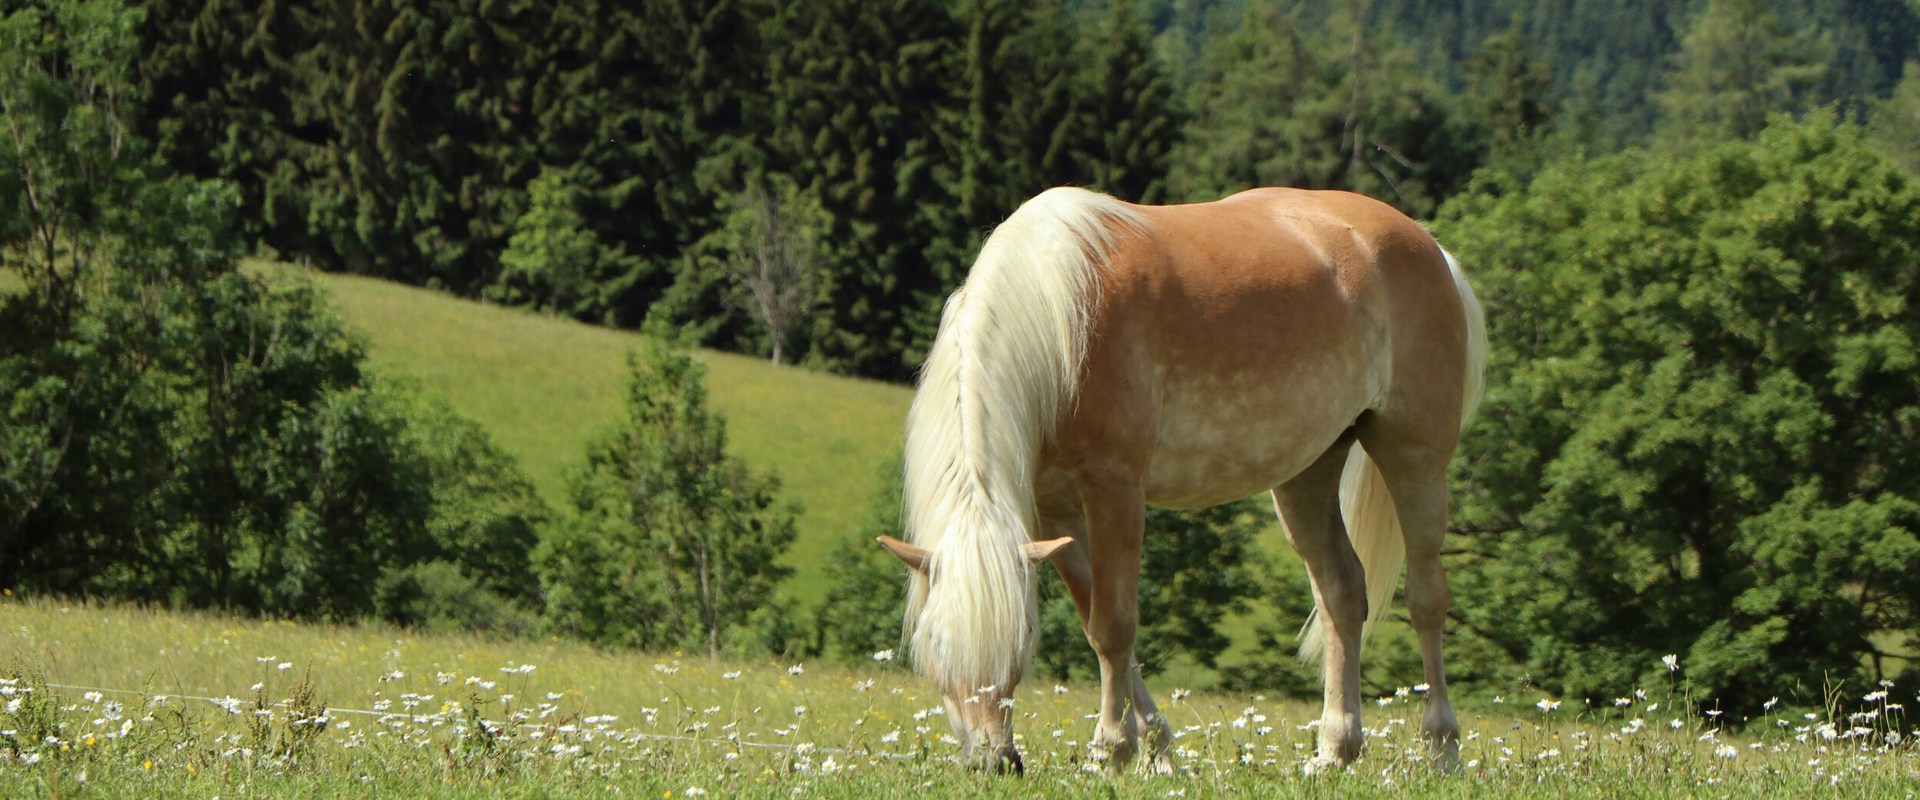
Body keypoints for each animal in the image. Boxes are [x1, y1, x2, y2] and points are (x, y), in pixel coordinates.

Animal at [877, 186, 1486, 774]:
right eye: (934, 647)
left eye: (1021, 645)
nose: (995, 763)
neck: (1057, 320)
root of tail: (1430, 246)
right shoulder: (1057, 513)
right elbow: (1100, 627)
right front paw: (1158, 752)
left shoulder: (1115, 489)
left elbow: (1114, 626)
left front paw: (1112, 751)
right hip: (1306, 474)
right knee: (1342, 592)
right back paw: (1336, 749)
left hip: (1415, 458)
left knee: (1427, 599)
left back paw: (1443, 749)